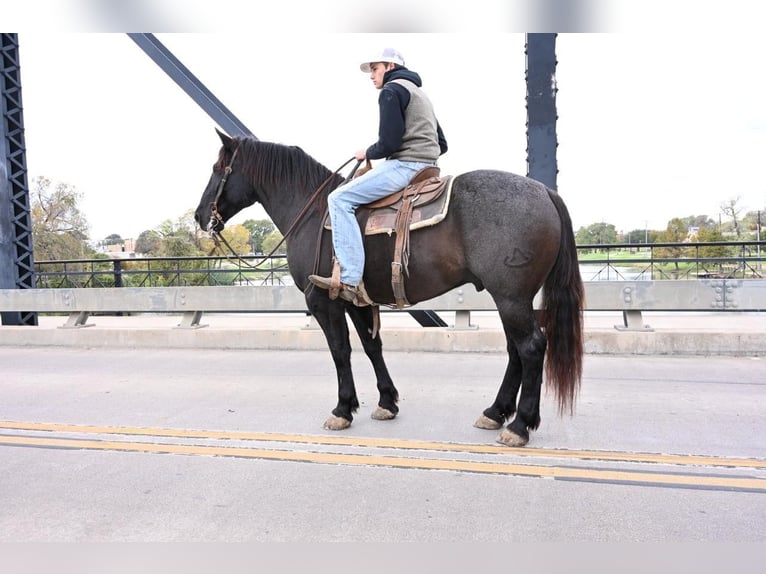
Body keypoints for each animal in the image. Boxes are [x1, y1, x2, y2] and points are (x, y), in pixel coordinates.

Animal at [195, 132, 584, 450]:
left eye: (217, 167)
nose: (200, 216)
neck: (313, 212)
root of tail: (544, 191)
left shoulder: (322, 301)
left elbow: (340, 351)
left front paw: (343, 408)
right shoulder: (355, 300)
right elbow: (371, 347)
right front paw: (386, 402)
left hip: (510, 298)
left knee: (530, 348)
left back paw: (519, 426)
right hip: (510, 299)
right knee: (515, 351)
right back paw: (495, 412)